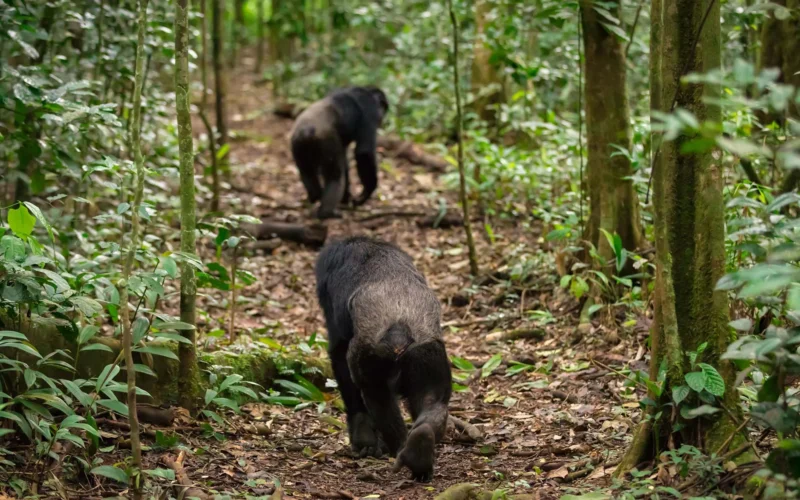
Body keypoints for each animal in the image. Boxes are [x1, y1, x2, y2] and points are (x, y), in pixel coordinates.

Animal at [290, 86, 390, 219]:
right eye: (383, 106)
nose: (383, 115)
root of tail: (307, 130)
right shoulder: (370, 110)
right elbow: (364, 152)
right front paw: (365, 194)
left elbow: (345, 160)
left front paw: (346, 198)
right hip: (326, 142)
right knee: (335, 175)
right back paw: (326, 212)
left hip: (298, 146)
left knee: (307, 171)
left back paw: (315, 197)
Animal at [316, 236, 454, 482]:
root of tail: (399, 329)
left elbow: (338, 354)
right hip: (429, 354)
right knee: (434, 400)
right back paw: (420, 451)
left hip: (371, 357)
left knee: (378, 399)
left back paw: (399, 449)